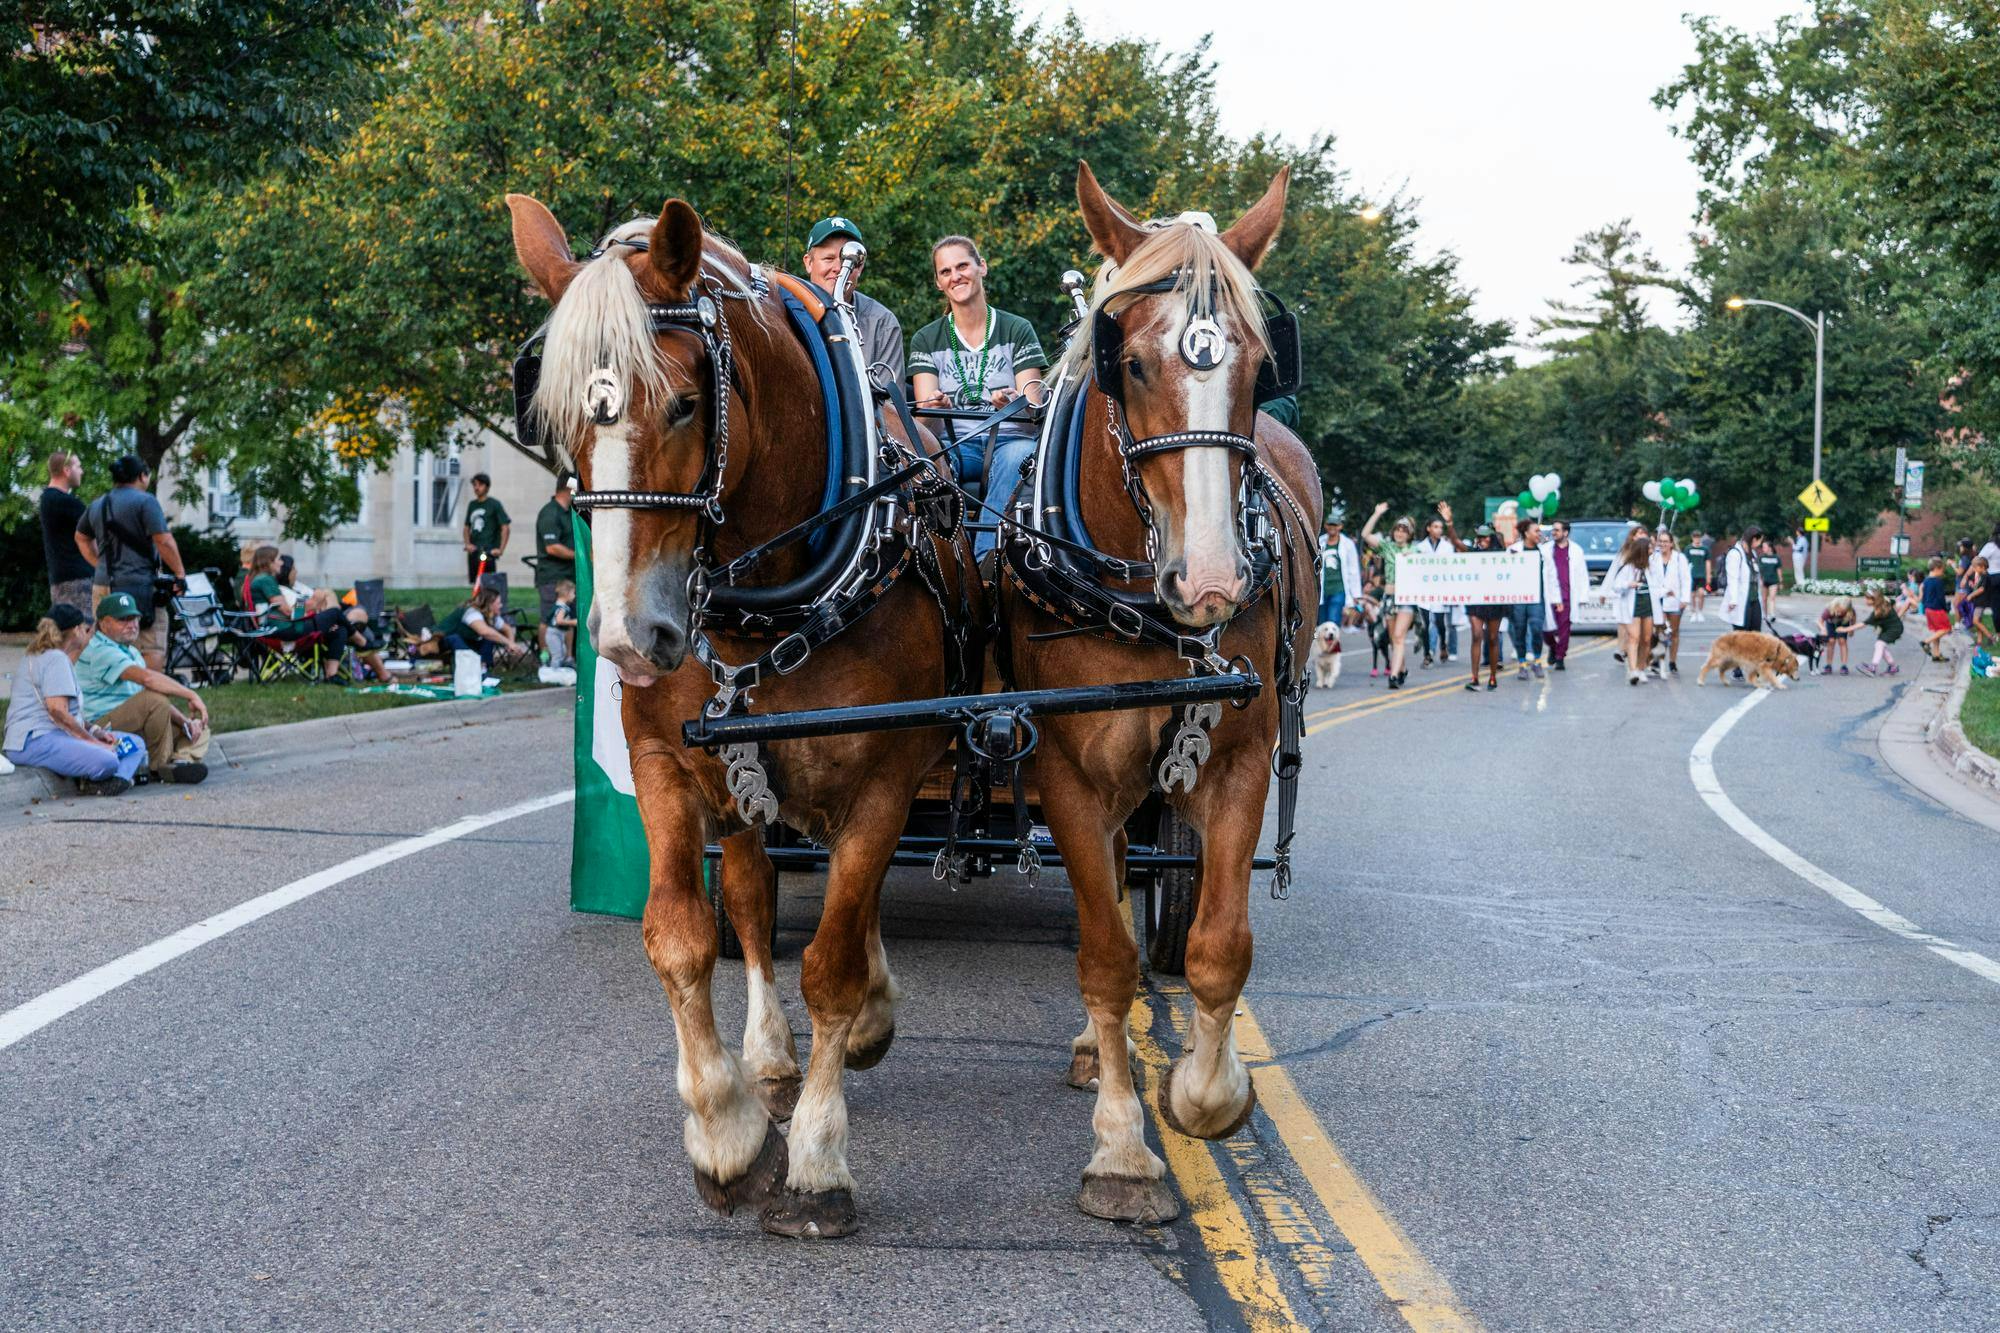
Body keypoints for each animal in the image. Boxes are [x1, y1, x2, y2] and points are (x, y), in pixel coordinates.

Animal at [504, 192, 964, 1232]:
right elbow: (682, 934)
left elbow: (832, 960)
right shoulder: (668, 762)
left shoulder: (883, 774)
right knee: (752, 897)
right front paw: (725, 1130)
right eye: (553, 414)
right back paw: (769, 1058)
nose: (629, 636)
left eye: (684, 400)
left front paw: (820, 1159)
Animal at [1000, 169, 1328, 1224]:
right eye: (1130, 365)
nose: (1216, 579)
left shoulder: (1238, 761)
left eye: (1261, 368)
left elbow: (1218, 947)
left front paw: (1205, 1096)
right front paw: (1122, 1150)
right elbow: (1104, 956)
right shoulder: (1067, 770)